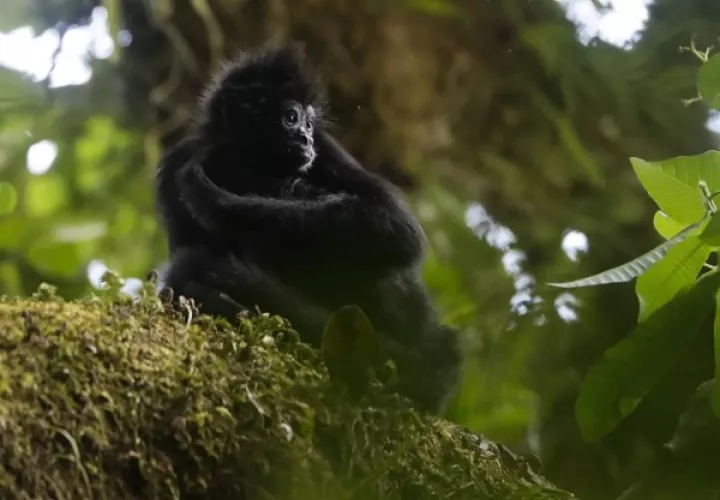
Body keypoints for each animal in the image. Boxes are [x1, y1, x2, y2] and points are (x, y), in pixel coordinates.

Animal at [155, 45, 461, 414]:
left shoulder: (325, 147)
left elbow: (395, 224)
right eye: (291, 117)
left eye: (310, 123)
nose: (305, 137)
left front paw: (215, 203)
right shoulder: (177, 163)